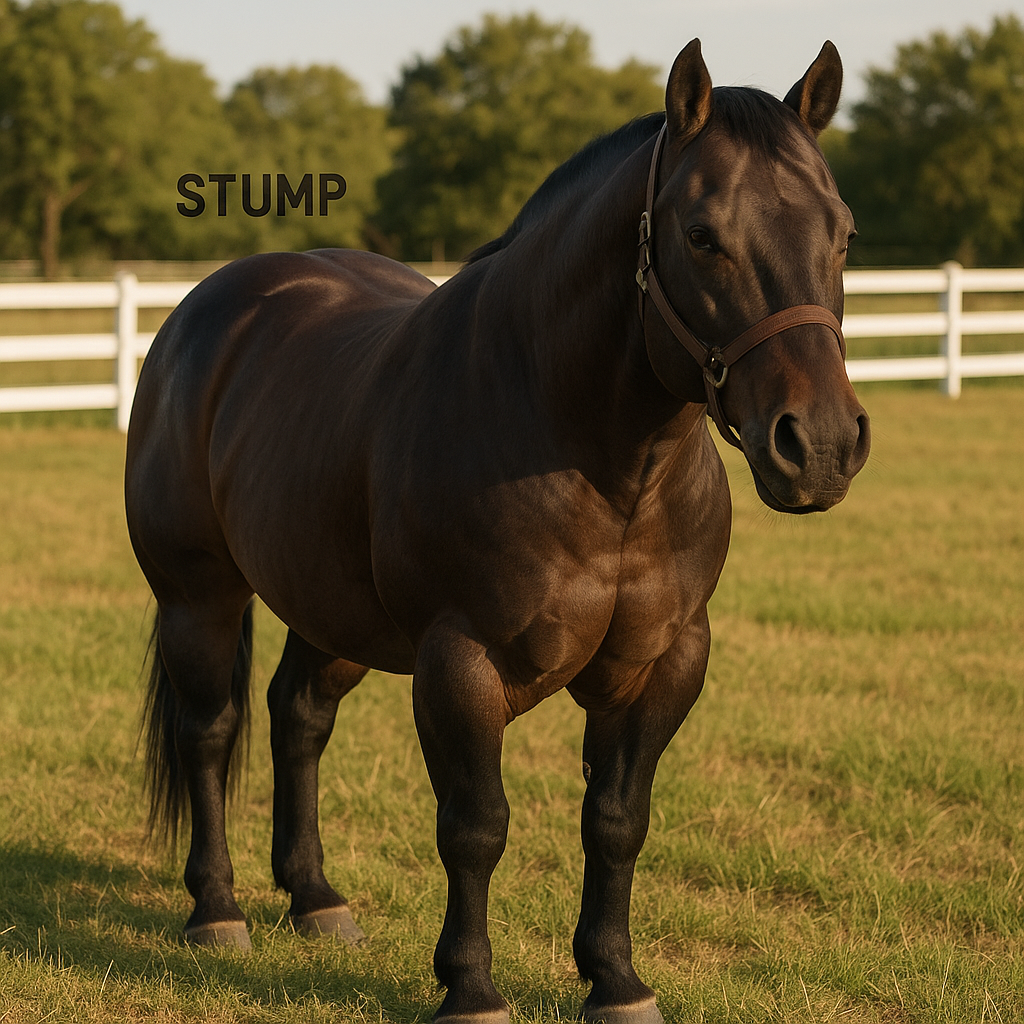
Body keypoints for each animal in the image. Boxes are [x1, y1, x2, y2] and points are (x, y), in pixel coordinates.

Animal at [125, 38, 870, 1024]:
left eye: (843, 232)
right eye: (703, 235)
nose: (818, 445)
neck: (599, 465)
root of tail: (206, 309)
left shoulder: (664, 662)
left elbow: (617, 821)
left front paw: (616, 980)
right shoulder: (460, 662)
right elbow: (476, 827)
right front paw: (471, 988)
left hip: (332, 611)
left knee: (299, 717)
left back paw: (316, 899)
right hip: (198, 596)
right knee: (210, 731)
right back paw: (217, 910)